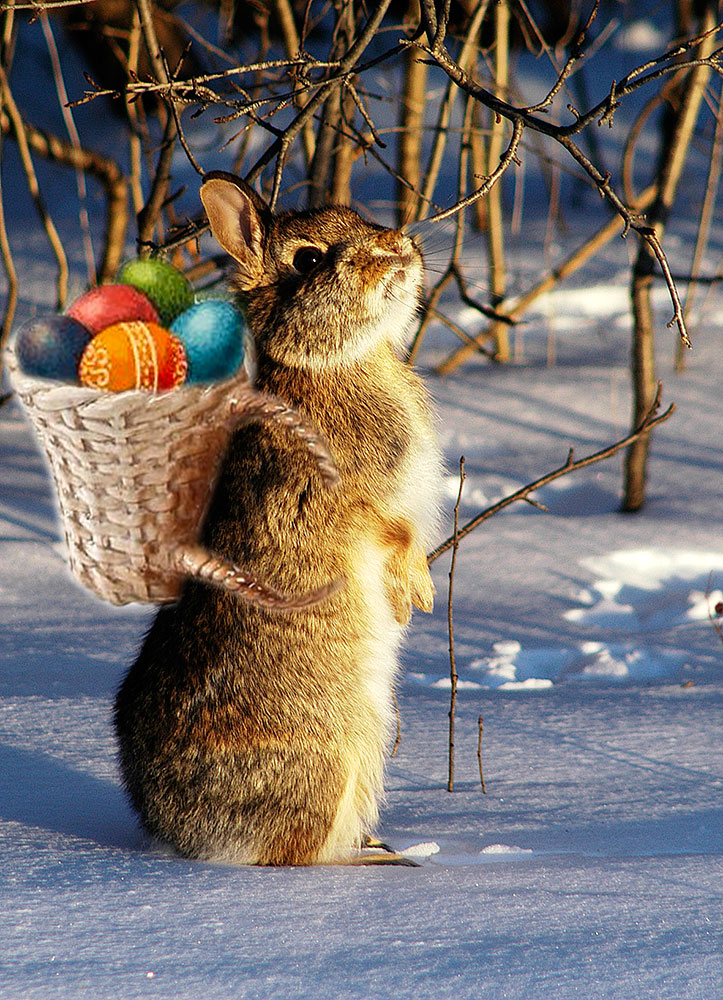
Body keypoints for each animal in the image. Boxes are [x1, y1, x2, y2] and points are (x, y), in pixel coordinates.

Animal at [114, 174, 444, 868]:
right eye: (310, 260)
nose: (397, 248)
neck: (332, 364)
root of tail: (176, 830)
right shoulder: (349, 504)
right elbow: (394, 535)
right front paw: (415, 596)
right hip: (328, 761)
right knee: (293, 852)